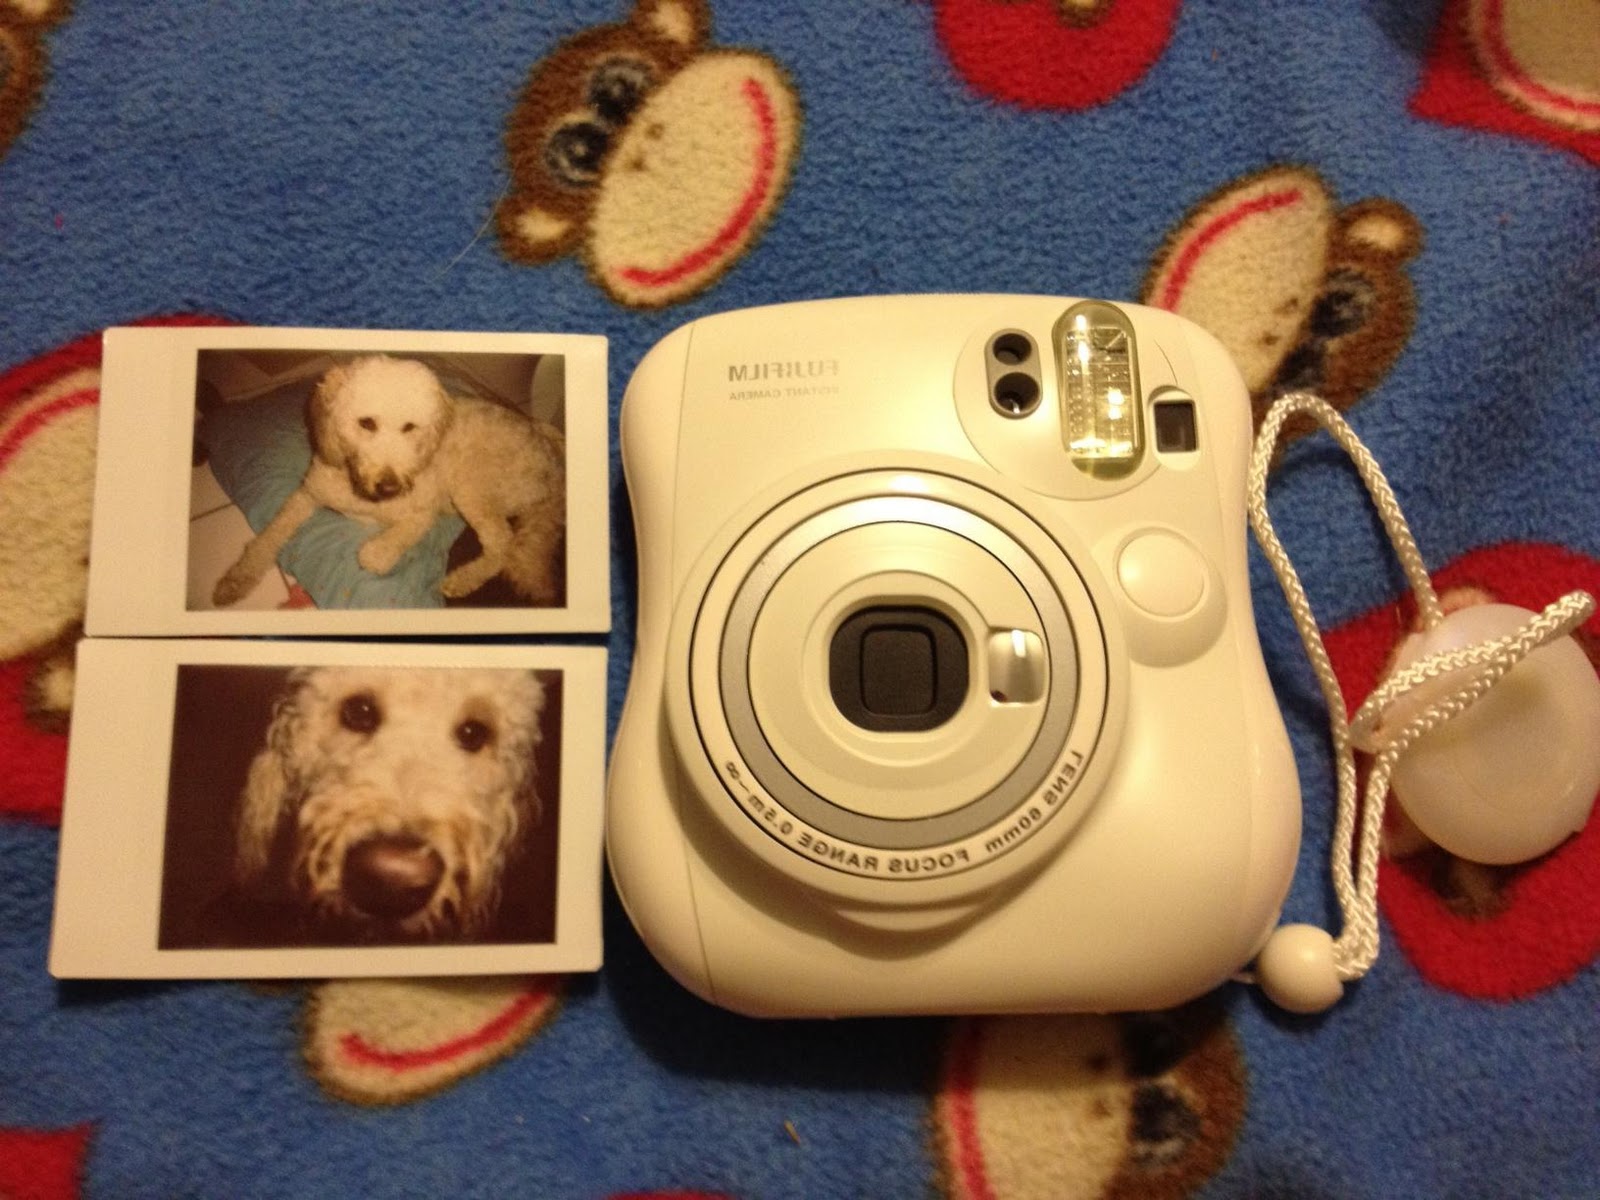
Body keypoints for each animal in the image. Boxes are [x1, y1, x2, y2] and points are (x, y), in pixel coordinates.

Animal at [209, 352, 566, 604]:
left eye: (410, 427)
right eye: (366, 423)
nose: (391, 486)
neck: (357, 487)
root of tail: (550, 458)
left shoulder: (421, 515)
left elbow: (378, 552)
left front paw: (377, 551)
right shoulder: (307, 495)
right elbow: (267, 539)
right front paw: (235, 580)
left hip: (471, 489)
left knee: (501, 543)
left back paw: (463, 579)